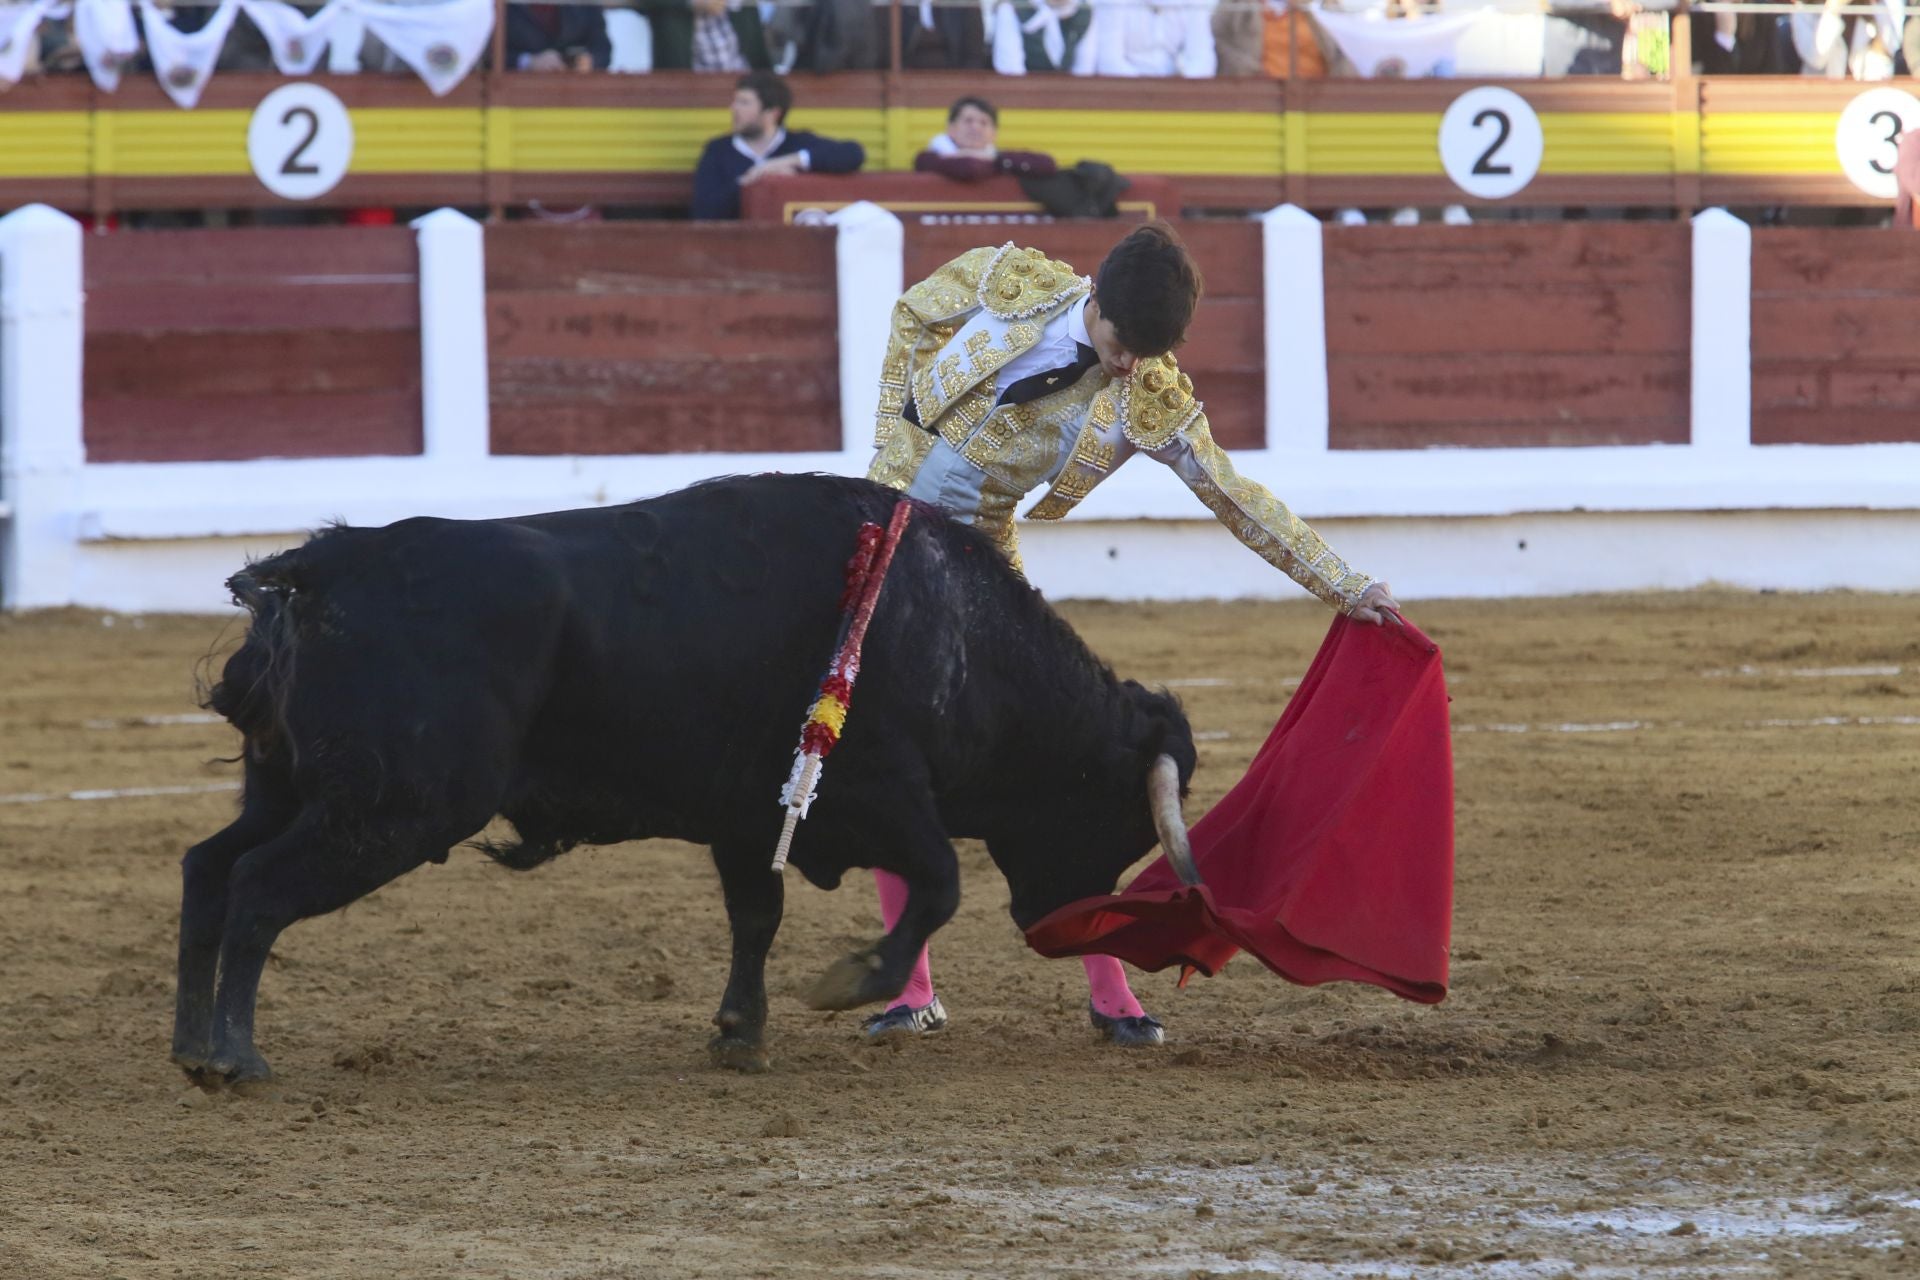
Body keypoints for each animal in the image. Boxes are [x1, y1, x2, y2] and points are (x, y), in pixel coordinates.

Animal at [172, 474, 1190, 1082]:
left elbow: (757, 916)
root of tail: (325, 565)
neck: (954, 631)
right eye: (1115, 818)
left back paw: (189, 1045)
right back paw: (236, 1059)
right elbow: (937, 883)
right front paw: (851, 981)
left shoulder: (750, 816)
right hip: (396, 807)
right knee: (257, 887)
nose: (1066, 926)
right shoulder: (883, 791)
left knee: (209, 870)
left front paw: (740, 1031)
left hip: (295, 791)